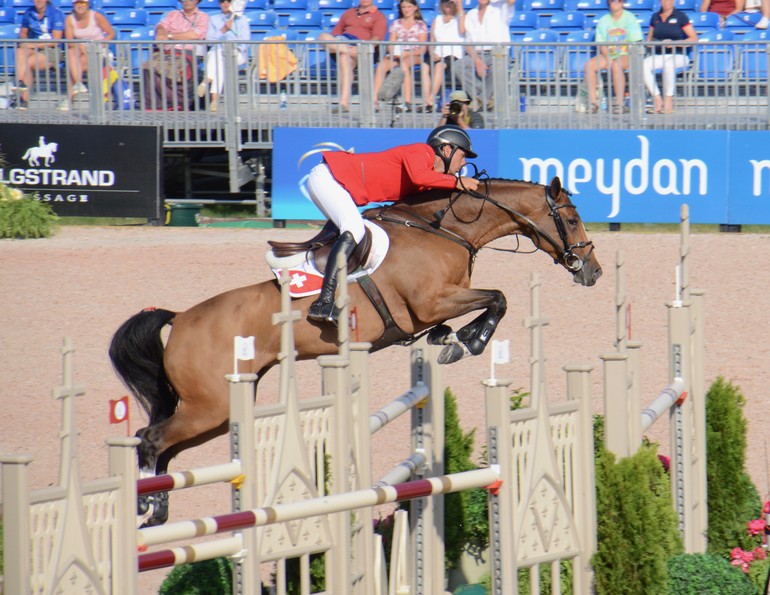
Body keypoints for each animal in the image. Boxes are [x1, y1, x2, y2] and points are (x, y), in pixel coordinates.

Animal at [108, 173, 600, 528]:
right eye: (573, 219)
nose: (592, 270)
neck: (447, 232)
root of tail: (180, 320)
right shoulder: (431, 301)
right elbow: (497, 297)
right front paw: (470, 341)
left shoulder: (435, 307)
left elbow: (480, 307)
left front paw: (450, 341)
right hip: (211, 406)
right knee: (150, 440)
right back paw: (144, 508)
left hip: (222, 408)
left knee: (165, 448)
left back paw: (158, 509)